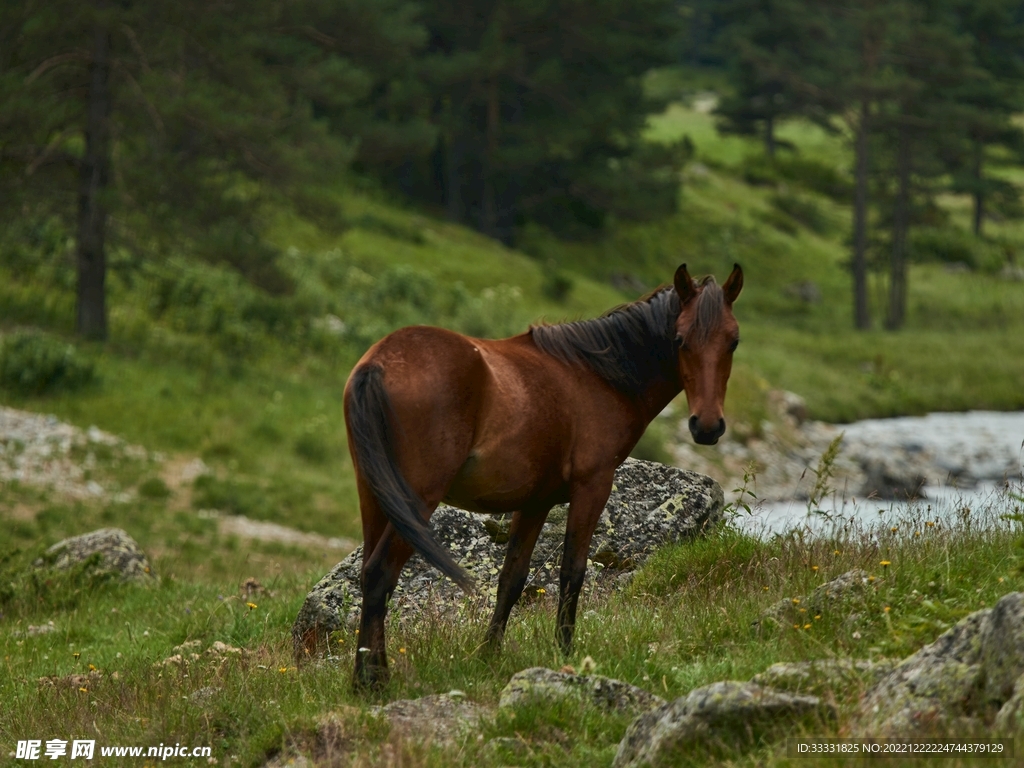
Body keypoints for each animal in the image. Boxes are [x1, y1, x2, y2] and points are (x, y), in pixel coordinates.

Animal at [343, 263, 743, 690]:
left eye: (733, 341)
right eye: (681, 339)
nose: (707, 426)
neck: (595, 376)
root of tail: (379, 363)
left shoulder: (534, 503)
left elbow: (512, 579)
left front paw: (489, 655)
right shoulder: (592, 487)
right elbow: (572, 572)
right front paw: (565, 652)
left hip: (375, 496)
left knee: (369, 577)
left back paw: (369, 675)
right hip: (417, 500)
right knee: (381, 574)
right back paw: (372, 683)